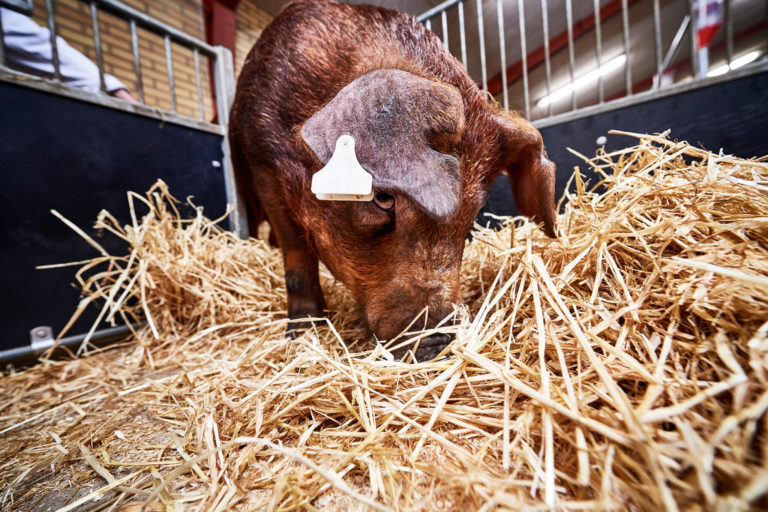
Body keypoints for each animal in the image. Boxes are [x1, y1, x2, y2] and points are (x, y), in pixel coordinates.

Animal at [229, 0, 556, 361]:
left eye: (472, 211)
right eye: (383, 198)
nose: (438, 343)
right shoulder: (263, 165)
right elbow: (296, 254)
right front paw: (301, 334)